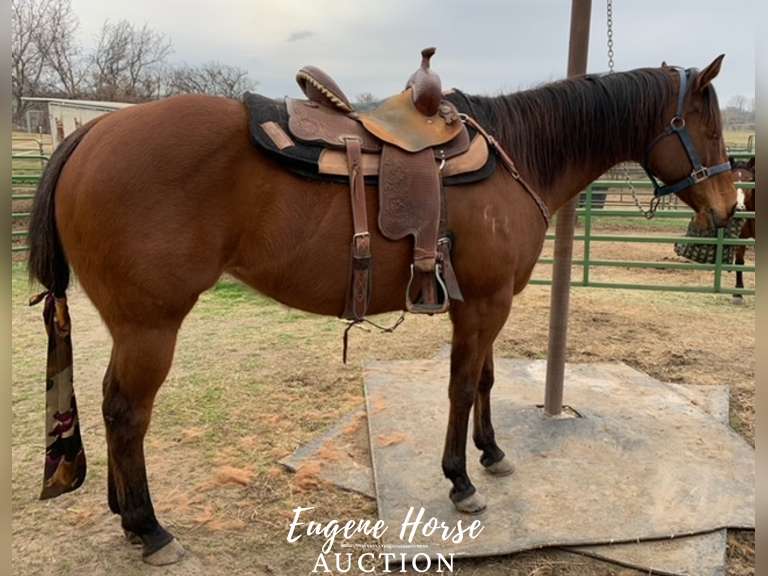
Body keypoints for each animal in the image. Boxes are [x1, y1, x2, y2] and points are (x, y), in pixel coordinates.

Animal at [27, 56, 737, 565]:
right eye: (708, 126)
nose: (729, 207)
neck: (517, 156)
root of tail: (92, 131)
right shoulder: (484, 304)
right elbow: (460, 387)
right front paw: (460, 482)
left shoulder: (485, 304)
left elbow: (485, 380)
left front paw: (491, 453)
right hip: (151, 326)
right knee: (127, 413)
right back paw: (150, 529)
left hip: (130, 326)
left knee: (110, 405)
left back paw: (125, 516)